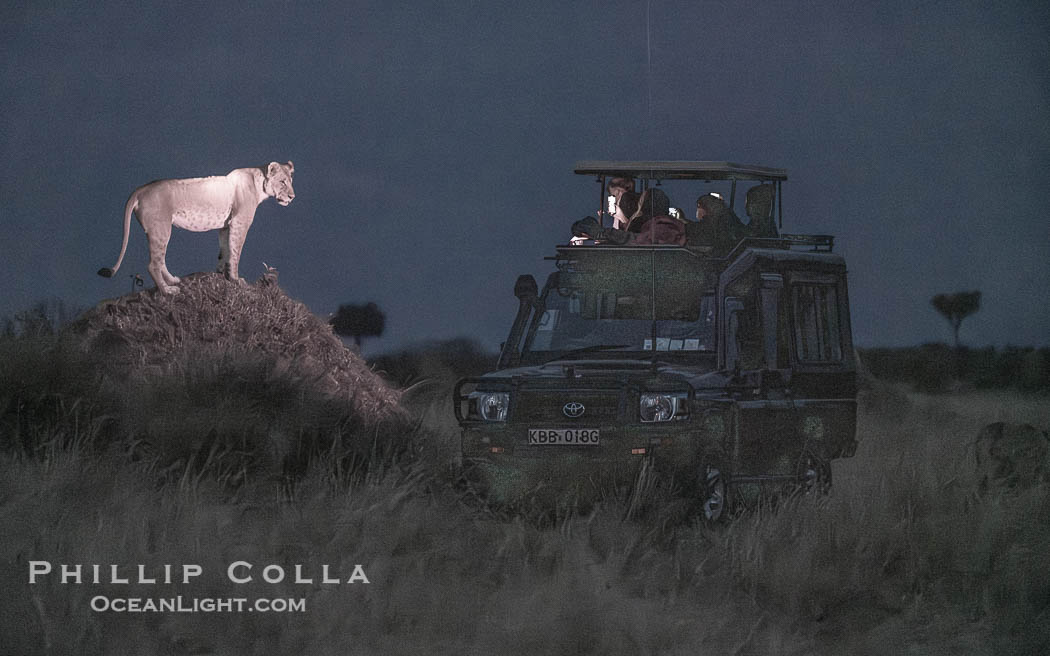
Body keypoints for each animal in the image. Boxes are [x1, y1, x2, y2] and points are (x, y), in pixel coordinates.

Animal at [97, 159, 296, 293]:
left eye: (290, 181)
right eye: (282, 181)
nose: (292, 197)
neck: (259, 183)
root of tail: (141, 188)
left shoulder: (226, 226)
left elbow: (224, 250)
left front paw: (220, 273)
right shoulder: (240, 223)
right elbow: (235, 253)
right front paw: (235, 279)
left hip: (160, 230)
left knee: (160, 259)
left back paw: (173, 280)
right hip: (161, 228)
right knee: (153, 263)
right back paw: (167, 291)